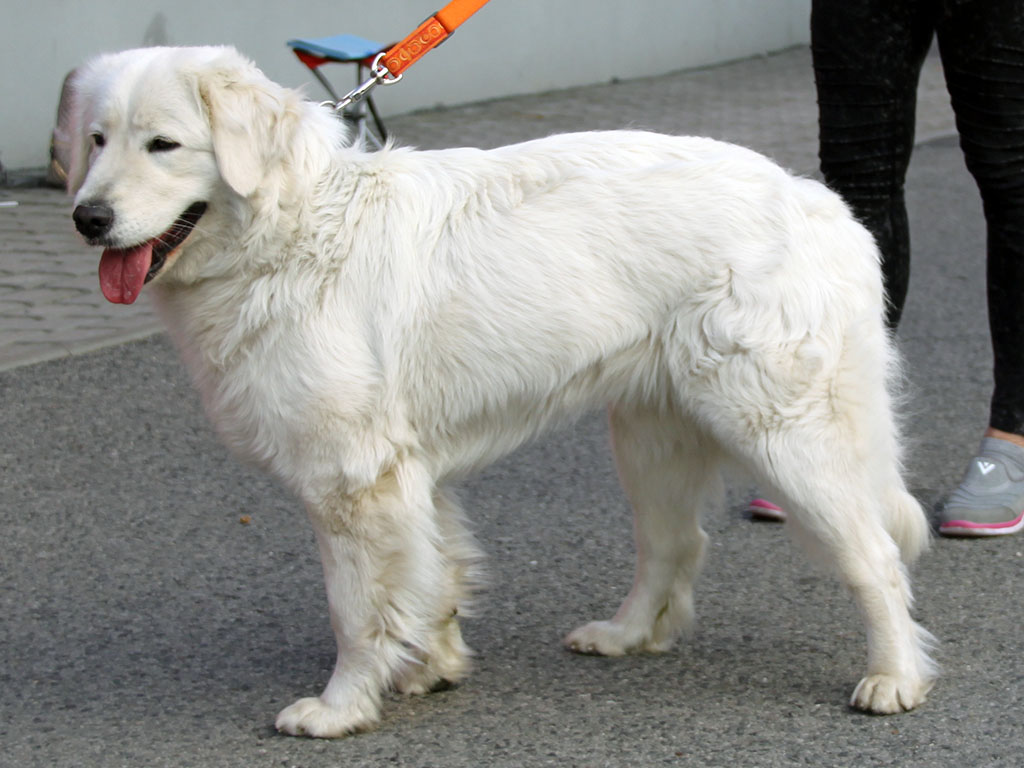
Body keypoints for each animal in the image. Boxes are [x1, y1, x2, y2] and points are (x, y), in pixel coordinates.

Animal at [68, 45, 937, 737]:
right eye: (97, 141)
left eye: (164, 144)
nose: (86, 217)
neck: (295, 227)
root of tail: (819, 203)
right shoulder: (407, 474)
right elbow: (433, 576)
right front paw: (432, 667)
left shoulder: (351, 481)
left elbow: (357, 609)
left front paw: (342, 707)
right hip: (649, 433)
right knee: (675, 543)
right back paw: (624, 635)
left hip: (782, 434)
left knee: (875, 556)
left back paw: (895, 678)